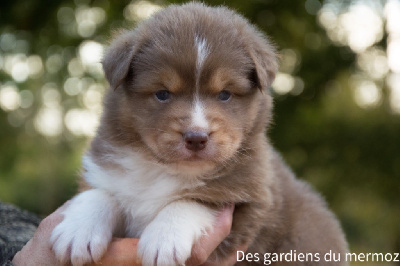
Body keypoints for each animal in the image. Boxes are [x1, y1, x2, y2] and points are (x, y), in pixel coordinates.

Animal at [51, 2, 348, 266]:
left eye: (225, 94)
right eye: (162, 94)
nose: (196, 137)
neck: (161, 169)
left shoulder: (250, 197)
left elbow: (194, 200)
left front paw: (163, 240)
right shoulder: (104, 168)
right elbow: (100, 193)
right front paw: (77, 232)